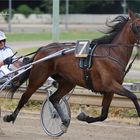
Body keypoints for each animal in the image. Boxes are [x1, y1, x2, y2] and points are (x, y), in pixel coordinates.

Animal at [2, 10, 140, 130]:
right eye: (137, 25)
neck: (112, 53)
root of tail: (43, 49)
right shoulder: (110, 85)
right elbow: (133, 96)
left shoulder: (110, 90)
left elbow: (103, 115)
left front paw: (83, 116)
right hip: (38, 77)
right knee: (25, 96)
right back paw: (10, 117)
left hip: (68, 82)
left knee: (54, 98)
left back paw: (64, 119)